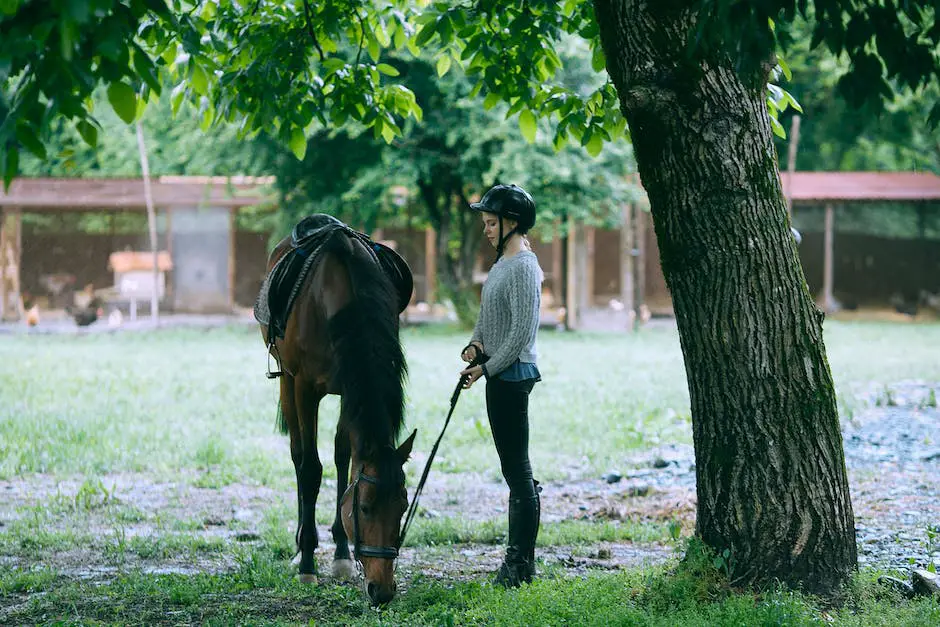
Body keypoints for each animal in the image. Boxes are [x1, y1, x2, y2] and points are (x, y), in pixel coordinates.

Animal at [260, 222, 414, 608]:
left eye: (403, 506)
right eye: (365, 508)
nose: (382, 590)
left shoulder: (350, 388)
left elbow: (344, 461)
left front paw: (342, 555)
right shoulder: (304, 387)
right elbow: (311, 469)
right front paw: (307, 562)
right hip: (286, 381)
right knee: (299, 456)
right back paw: (301, 546)